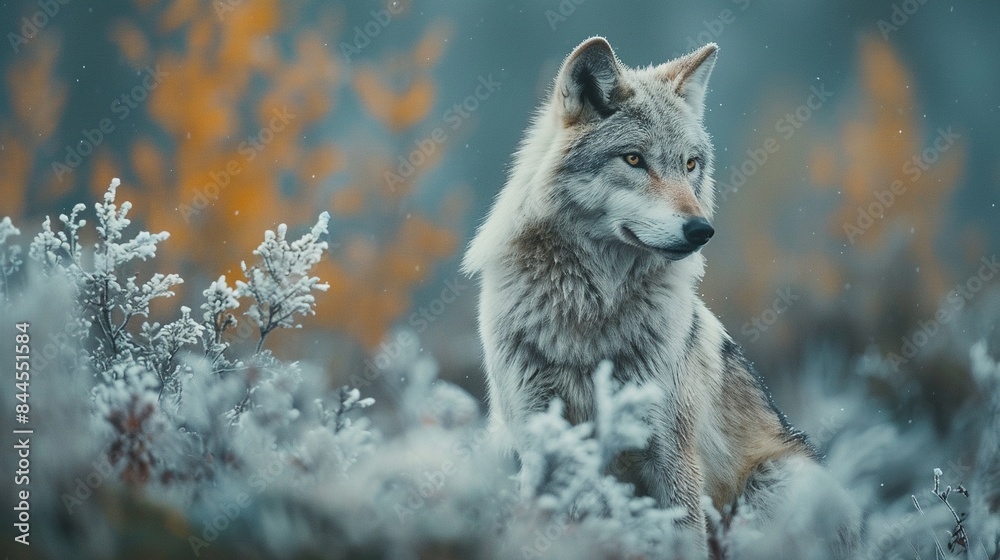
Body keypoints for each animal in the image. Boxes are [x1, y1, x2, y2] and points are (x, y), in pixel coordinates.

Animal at [463, 37, 859, 557]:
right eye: (634, 159)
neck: (589, 314)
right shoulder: (542, 445)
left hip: (775, 481)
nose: (702, 230)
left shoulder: (670, 455)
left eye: (690, 164)